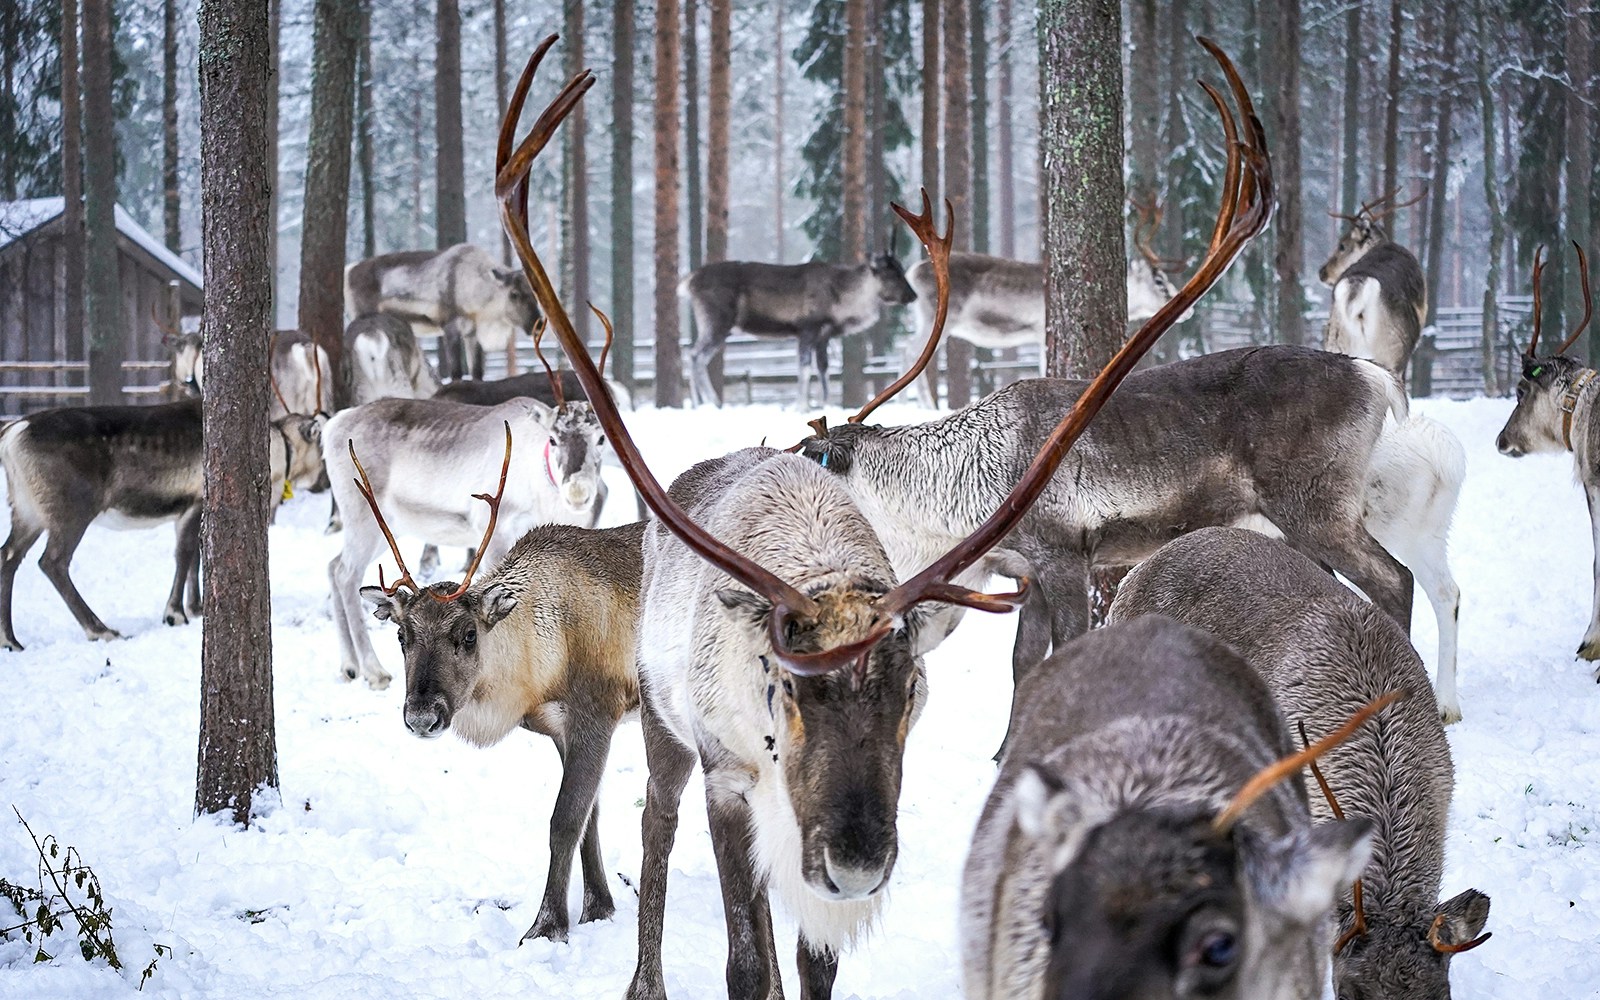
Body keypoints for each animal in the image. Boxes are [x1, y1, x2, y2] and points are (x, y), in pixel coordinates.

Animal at [0, 398, 326, 650]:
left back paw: (11, 640)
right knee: (52, 562)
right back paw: (101, 630)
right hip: (72, 511)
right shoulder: (194, 502)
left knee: (9, 557)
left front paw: (196, 607)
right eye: (320, 450)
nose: (323, 482)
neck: (277, 449)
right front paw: (175, 613)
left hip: (27, 511)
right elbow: (185, 555)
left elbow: (196, 558)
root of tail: (12, 433)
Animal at [344, 243, 541, 381]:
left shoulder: (472, 332)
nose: (537, 324)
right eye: (514, 294)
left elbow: (477, 372)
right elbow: (456, 372)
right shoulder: (450, 327)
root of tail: (348, 271)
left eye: (535, 293)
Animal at [348, 423, 645, 944]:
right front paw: (598, 908)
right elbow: (589, 819)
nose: (422, 716)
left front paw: (547, 925)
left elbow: (564, 820)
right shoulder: (562, 730)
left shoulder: (597, 714)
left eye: (468, 634)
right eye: (402, 636)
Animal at [680, 245, 918, 409]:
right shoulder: (807, 329)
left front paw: (825, 404)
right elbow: (804, 368)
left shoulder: (824, 335)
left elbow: (824, 370)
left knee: (693, 356)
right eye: (892, 273)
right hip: (717, 323)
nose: (912, 295)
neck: (843, 300)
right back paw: (712, 401)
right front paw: (802, 406)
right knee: (695, 356)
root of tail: (689, 281)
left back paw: (699, 403)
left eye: (901, 268)